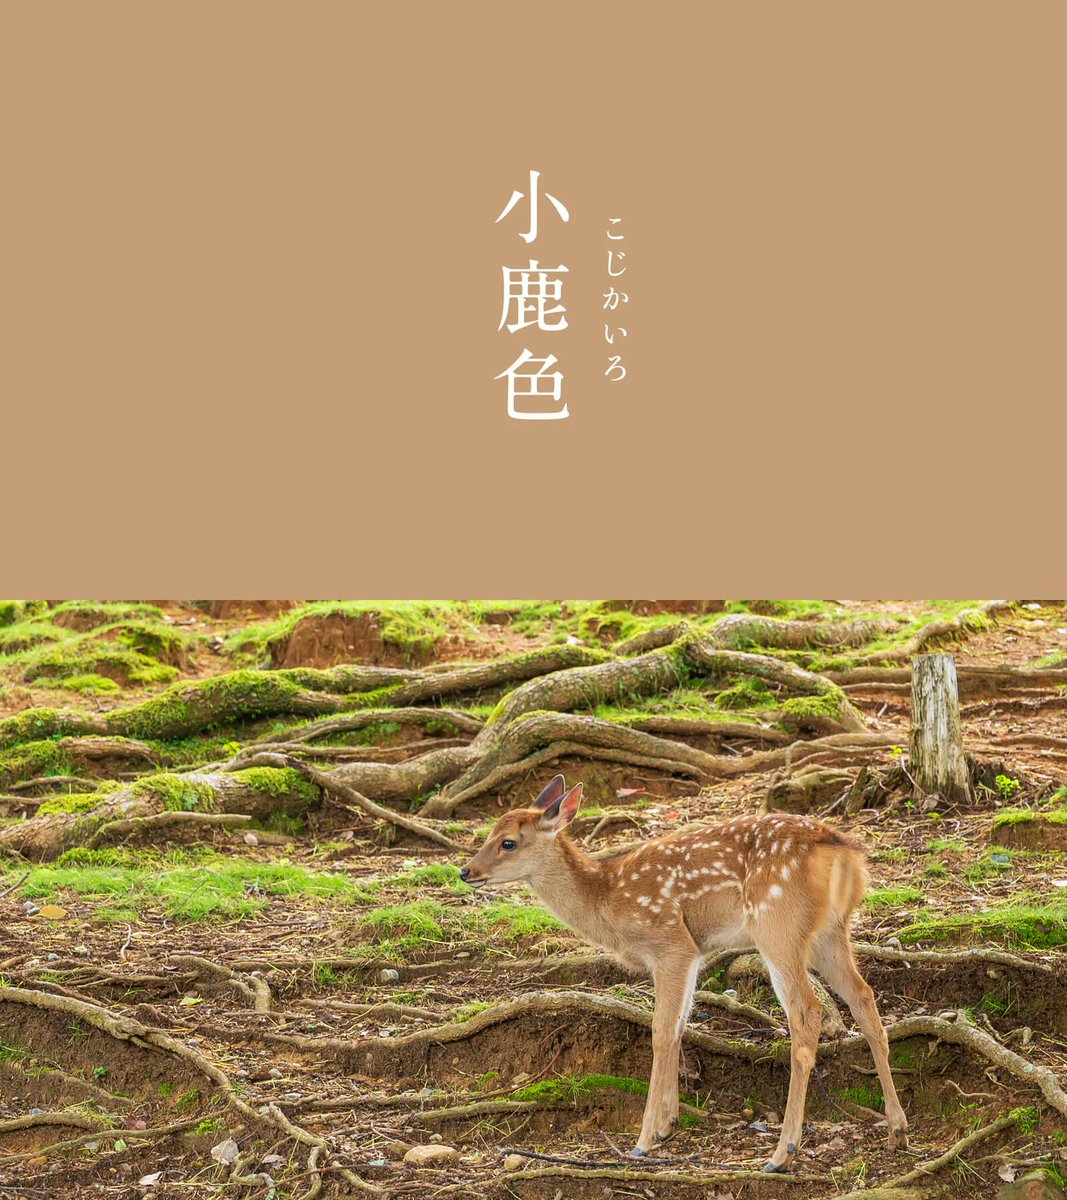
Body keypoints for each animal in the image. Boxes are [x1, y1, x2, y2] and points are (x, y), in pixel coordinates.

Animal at [460, 774, 907, 1173]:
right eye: (490, 832)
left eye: (508, 842)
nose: (466, 871)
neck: (609, 900)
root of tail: (845, 853)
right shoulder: (692, 954)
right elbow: (679, 1026)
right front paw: (667, 1125)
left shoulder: (670, 943)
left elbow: (660, 1031)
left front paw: (643, 1140)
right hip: (831, 933)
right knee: (864, 997)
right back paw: (897, 1129)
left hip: (777, 925)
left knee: (807, 1014)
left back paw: (783, 1153)